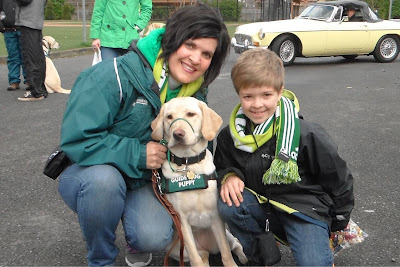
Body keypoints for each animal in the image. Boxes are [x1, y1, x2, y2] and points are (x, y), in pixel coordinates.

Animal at [152, 98, 248, 267]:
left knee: (235, 244)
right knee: (202, 256)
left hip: (225, 236)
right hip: (175, 248)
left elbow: (226, 253)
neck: (188, 164)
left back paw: (243, 257)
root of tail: (206, 247)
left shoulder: (216, 217)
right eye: (169, 117)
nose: (178, 134)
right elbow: (195, 258)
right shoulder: (182, 221)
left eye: (191, 114)